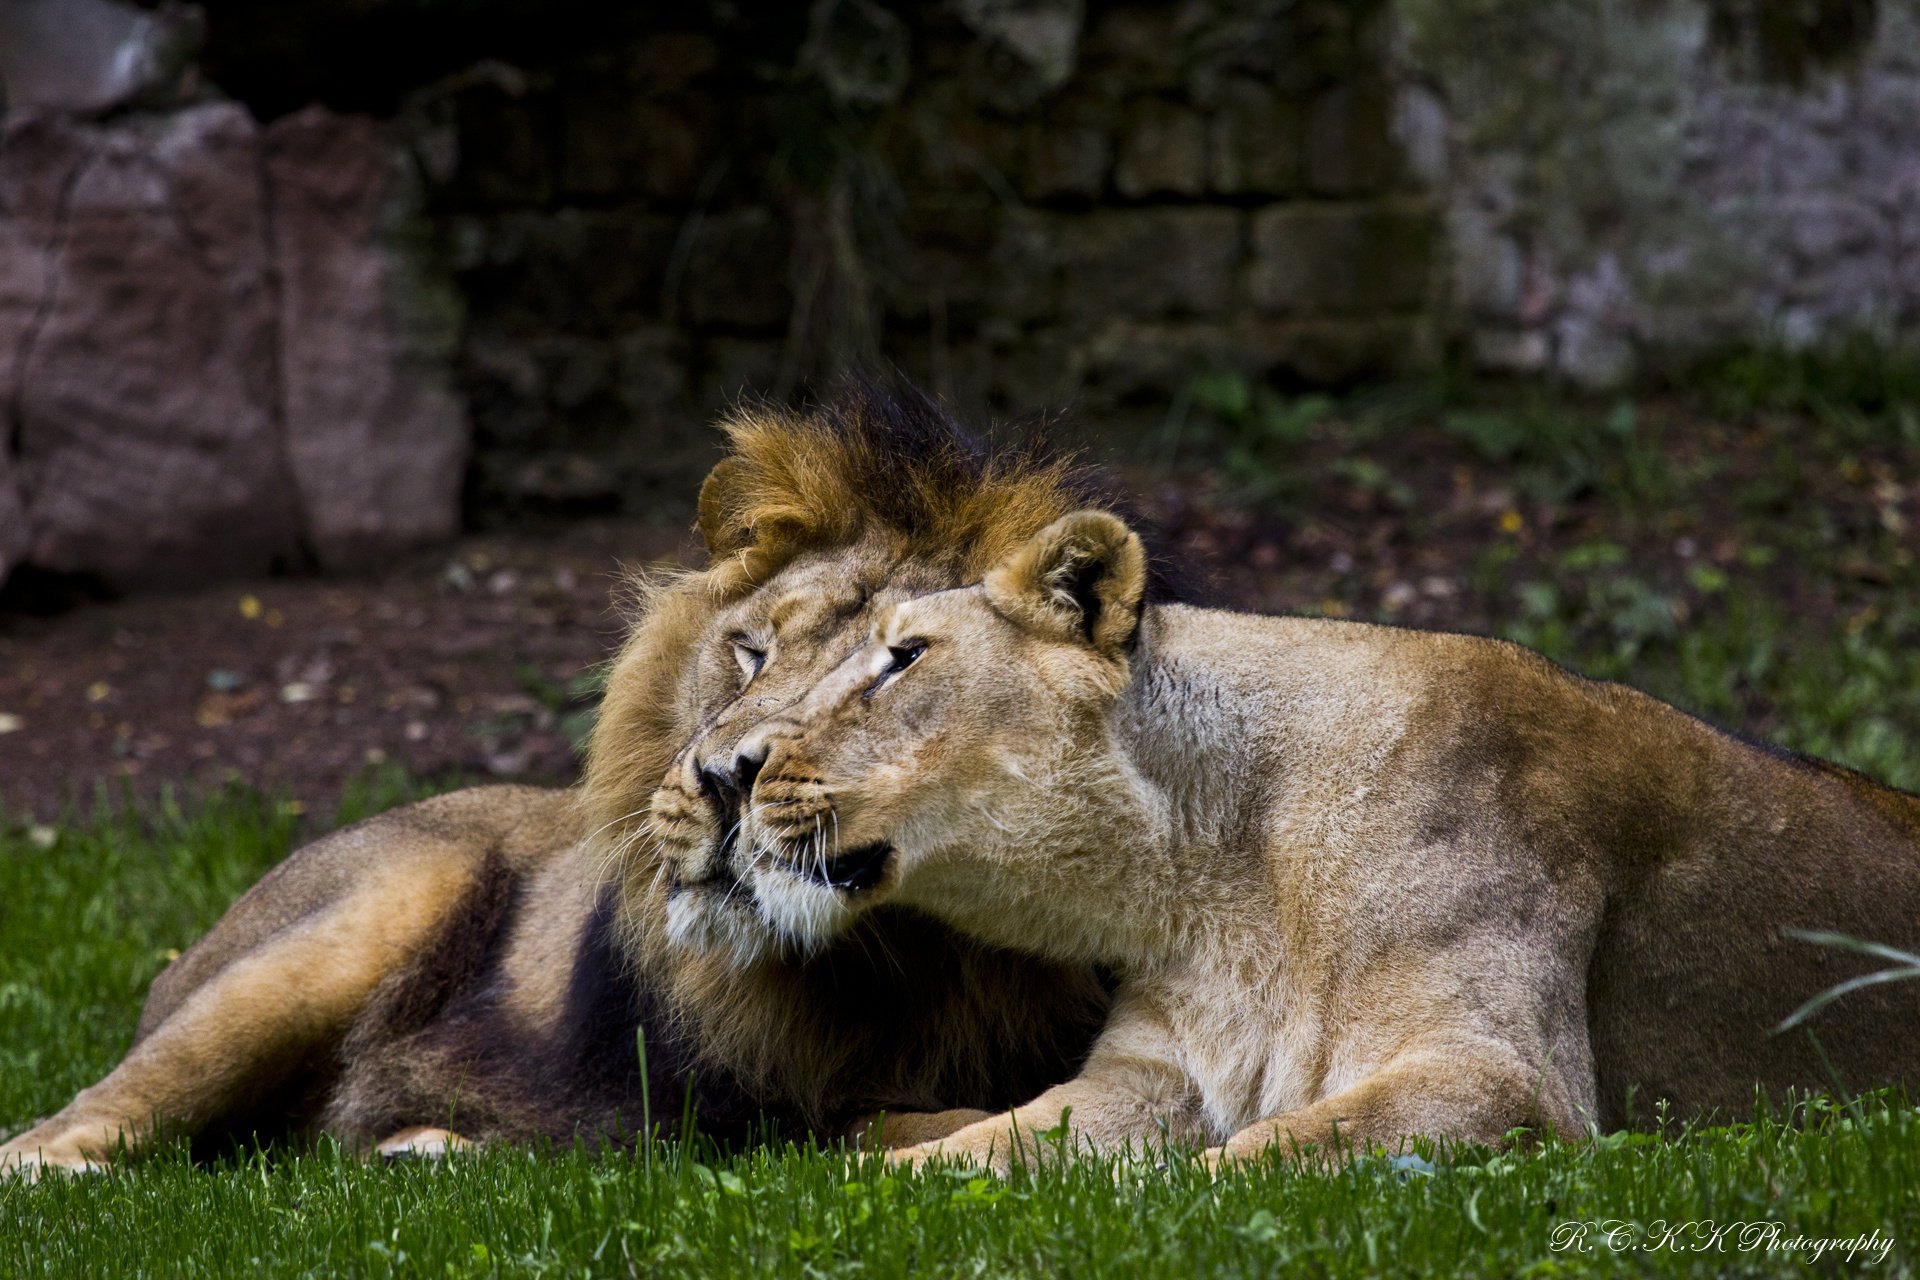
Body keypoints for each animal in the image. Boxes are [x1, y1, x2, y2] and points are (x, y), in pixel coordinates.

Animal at [0, 386, 1168, 1178]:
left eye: (896, 673)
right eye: (749, 653)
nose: (721, 778)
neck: (920, 954)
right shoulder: (738, 1119)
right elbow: (901, 1120)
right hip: (366, 908)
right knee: (73, 1123)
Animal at [655, 506, 1920, 1172]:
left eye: (904, 659)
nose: (726, 771)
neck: (1216, 877)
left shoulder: (1506, 1076)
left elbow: (1253, 1156)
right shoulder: (1151, 1075)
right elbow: (986, 1148)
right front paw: (855, 1179)